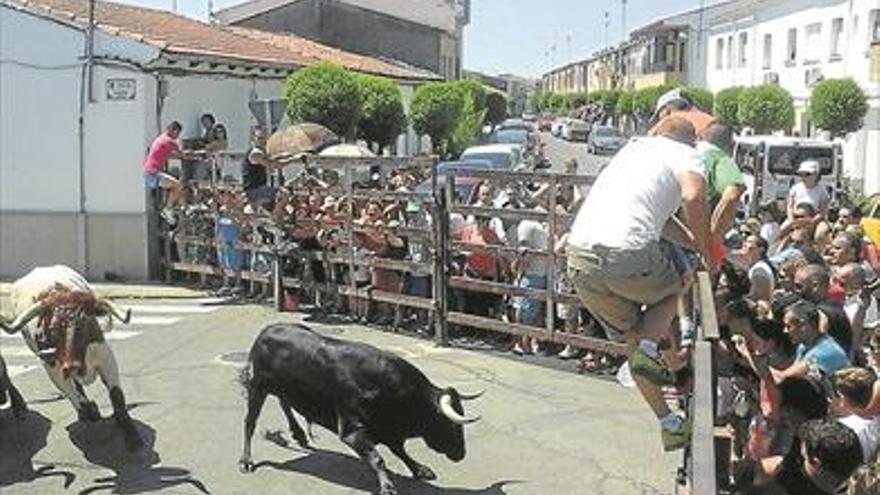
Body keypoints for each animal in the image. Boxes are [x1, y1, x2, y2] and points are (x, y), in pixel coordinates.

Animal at [0, 266, 143, 452]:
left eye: (83, 322)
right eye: (53, 327)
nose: (71, 366)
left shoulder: (105, 357)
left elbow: (117, 397)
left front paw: (132, 436)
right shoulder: (53, 369)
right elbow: (77, 399)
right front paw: (89, 410)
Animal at [237, 324, 482, 495]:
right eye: (451, 424)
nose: (461, 454)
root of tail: (265, 331)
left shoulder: (389, 430)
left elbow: (400, 451)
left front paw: (420, 469)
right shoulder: (351, 430)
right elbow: (378, 458)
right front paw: (387, 486)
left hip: (283, 387)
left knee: (284, 403)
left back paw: (299, 435)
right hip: (258, 386)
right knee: (250, 422)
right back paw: (246, 461)